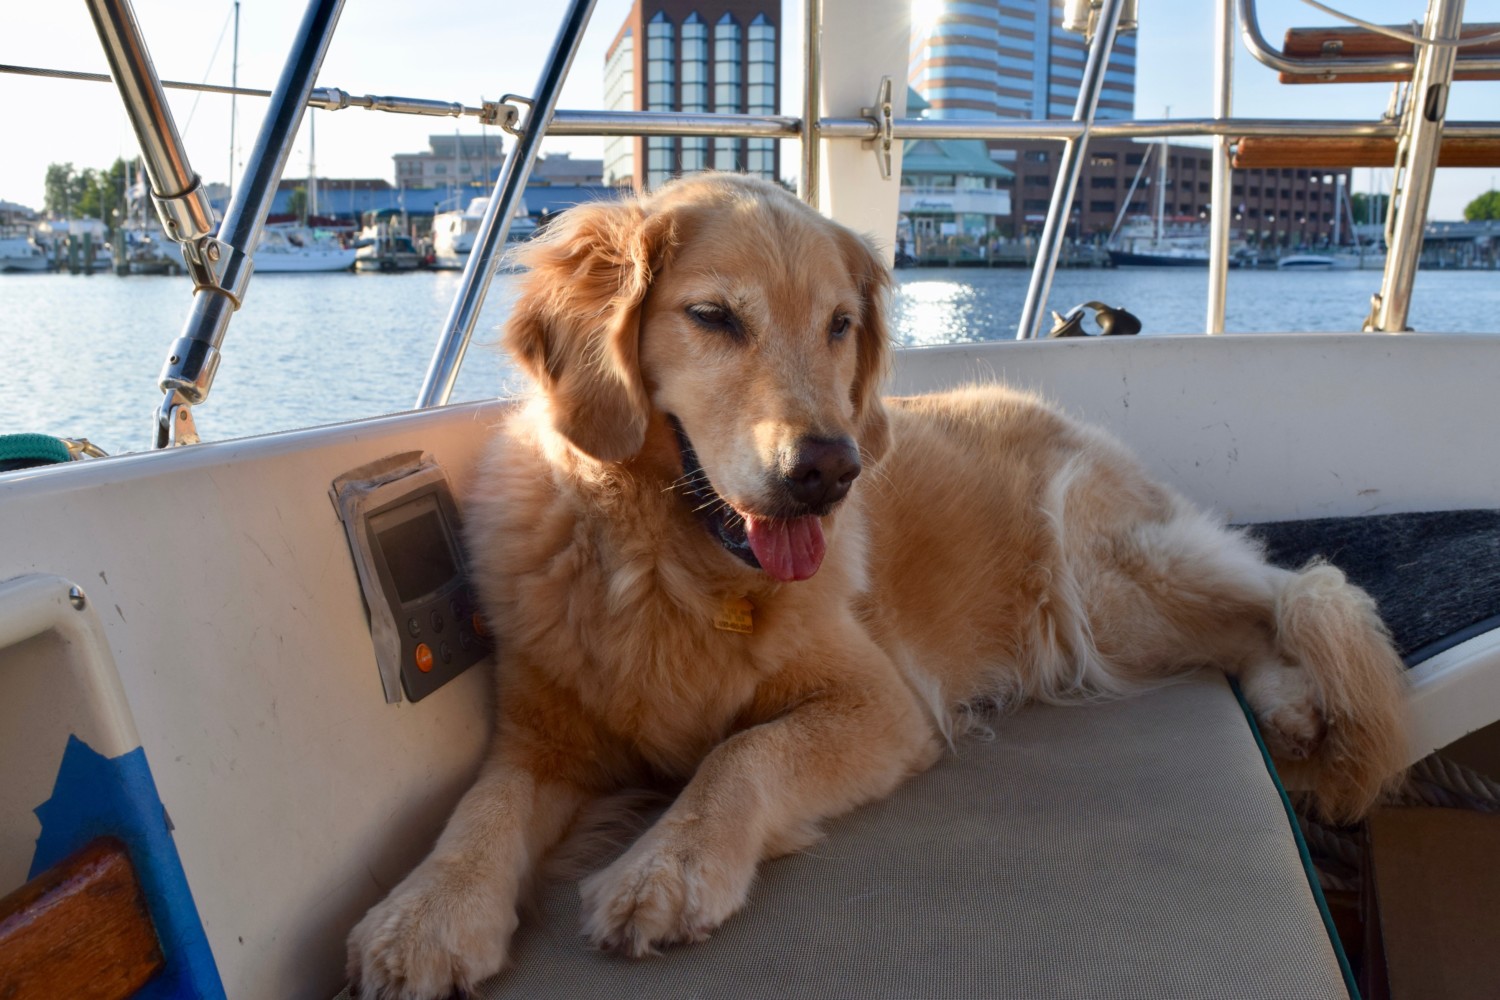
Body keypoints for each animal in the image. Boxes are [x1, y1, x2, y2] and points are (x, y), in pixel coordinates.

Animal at [345, 176, 1410, 995]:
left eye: (840, 325)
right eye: (713, 317)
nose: (829, 469)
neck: (671, 563)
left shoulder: (882, 704)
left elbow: (741, 755)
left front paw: (669, 864)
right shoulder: (542, 737)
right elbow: (478, 812)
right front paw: (422, 915)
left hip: (1103, 594)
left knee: (1288, 589)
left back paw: (1298, 698)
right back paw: (1290, 707)